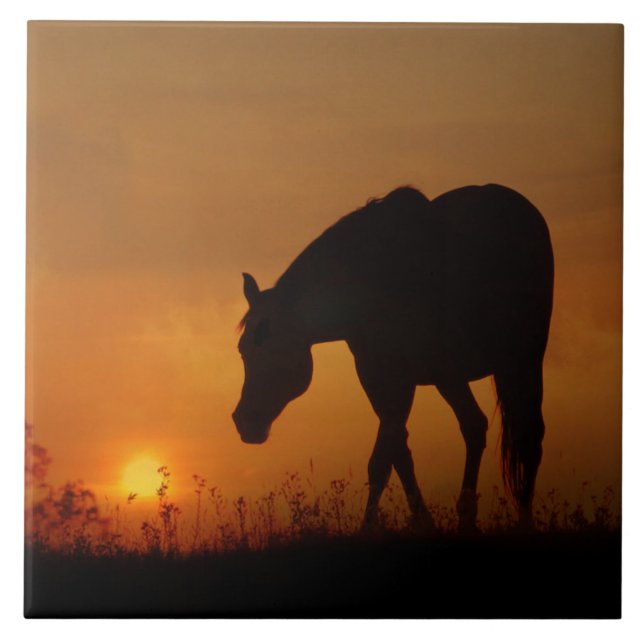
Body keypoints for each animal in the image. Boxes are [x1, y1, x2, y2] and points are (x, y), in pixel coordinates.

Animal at [232, 184, 554, 530]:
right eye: (242, 350)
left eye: (269, 345)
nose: (244, 421)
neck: (372, 284)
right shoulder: (376, 377)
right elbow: (396, 453)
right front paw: (420, 522)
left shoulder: (402, 379)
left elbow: (384, 455)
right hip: (451, 377)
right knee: (474, 426)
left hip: (522, 360)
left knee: (529, 435)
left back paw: (522, 521)